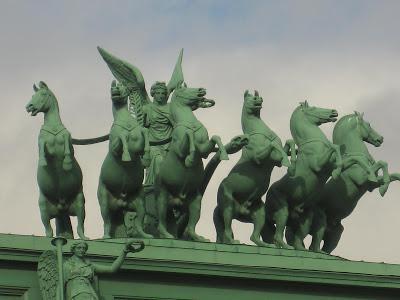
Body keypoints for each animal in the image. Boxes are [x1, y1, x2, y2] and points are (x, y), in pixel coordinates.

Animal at [26, 81, 87, 239]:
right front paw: (43, 161)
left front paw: (67, 163)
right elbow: (42, 146)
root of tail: (62, 208)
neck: (53, 127)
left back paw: (84, 237)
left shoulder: (69, 142)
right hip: (44, 209)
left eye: (42, 94)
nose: (28, 106)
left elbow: (67, 145)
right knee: (49, 230)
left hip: (80, 203)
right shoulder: (41, 143)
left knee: (80, 225)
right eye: (33, 96)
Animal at [97, 80, 153, 239]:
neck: (125, 121)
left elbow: (144, 132)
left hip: (140, 202)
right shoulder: (114, 149)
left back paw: (145, 235)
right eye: (113, 86)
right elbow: (122, 137)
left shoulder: (139, 140)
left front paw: (147, 157)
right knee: (107, 221)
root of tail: (121, 203)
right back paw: (106, 236)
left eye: (122, 86)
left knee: (139, 222)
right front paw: (126, 156)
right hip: (104, 203)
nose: (115, 89)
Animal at [155, 84, 228, 241]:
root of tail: (178, 201)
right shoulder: (179, 150)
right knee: (161, 220)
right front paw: (189, 159)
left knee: (190, 226)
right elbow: (189, 137)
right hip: (162, 198)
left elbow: (215, 138)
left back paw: (199, 238)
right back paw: (167, 235)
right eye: (184, 90)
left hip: (195, 201)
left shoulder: (205, 149)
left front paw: (224, 154)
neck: (190, 123)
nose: (202, 90)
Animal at [214, 91, 296, 246]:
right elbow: (272, 146)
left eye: (257, 96)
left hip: (259, 211)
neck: (258, 130)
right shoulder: (258, 157)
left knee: (254, 236)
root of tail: (240, 211)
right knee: (227, 229)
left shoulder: (275, 160)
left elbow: (288, 143)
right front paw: (287, 161)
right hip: (228, 205)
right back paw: (233, 241)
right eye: (252, 98)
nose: (260, 99)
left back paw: (265, 244)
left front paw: (290, 160)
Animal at [310, 112, 396, 253]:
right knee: (313, 245)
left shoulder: (370, 186)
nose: (381, 139)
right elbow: (381, 163)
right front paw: (383, 189)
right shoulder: (362, 180)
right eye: (368, 124)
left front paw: (384, 186)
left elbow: (391, 173)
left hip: (336, 233)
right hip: (320, 220)